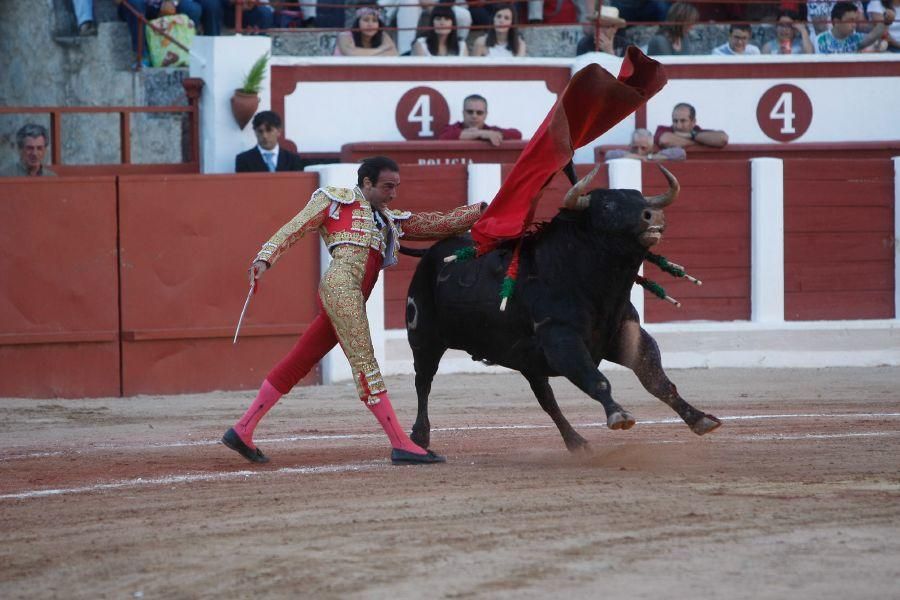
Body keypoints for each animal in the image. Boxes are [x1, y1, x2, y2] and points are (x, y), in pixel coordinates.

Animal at [404, 166, 720, 452]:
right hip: (424, 339)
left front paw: (700, 418)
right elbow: (597, 380)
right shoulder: (561, 338)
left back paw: (576, 441)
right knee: (423, 381)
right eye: (607, 205)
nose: (652, 215)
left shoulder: (627, 334)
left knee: (546, 398)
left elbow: (657, 380)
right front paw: (619, 414)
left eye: (642, 199)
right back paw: (419, 438)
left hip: (524, 358)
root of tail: (430, 252)